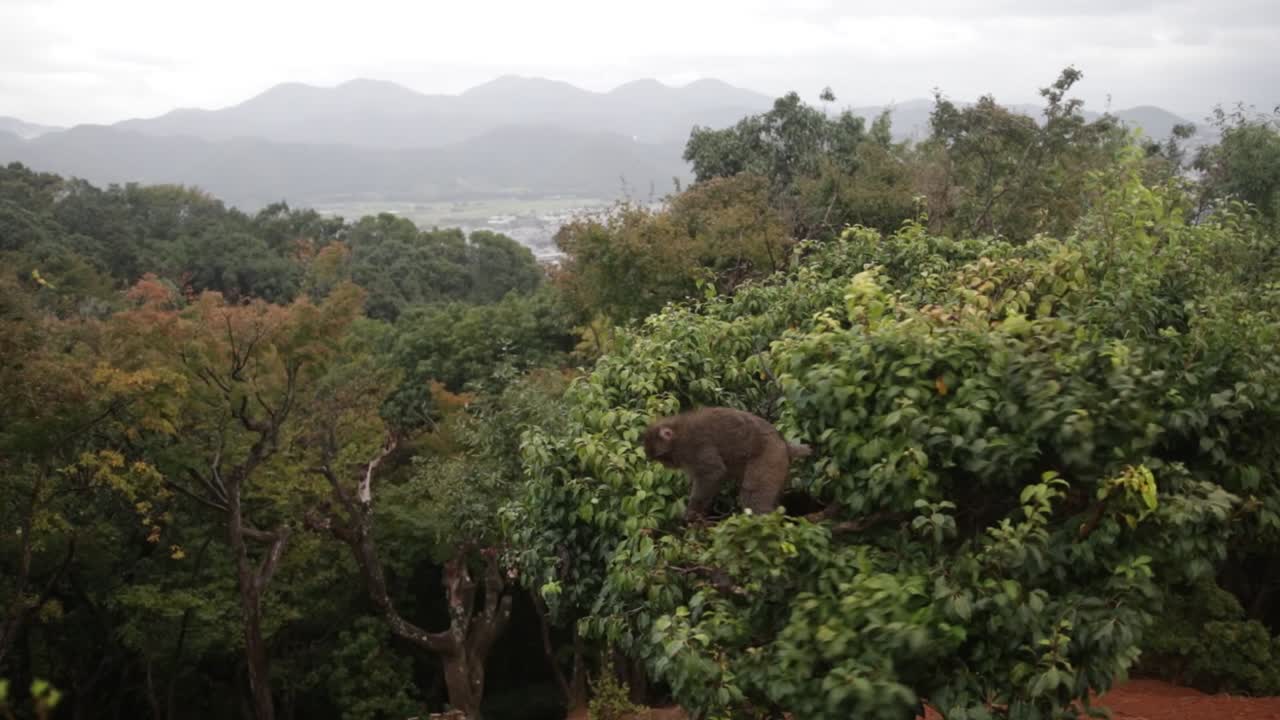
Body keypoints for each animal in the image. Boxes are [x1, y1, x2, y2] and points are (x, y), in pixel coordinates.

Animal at [642, 406, 811, 522]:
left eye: (662, 457)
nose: (667, 465)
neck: (678, 433)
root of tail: (784, 444)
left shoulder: (694, 446)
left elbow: (713, 473)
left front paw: (692, 511)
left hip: (771, 457)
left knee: (753, 494)